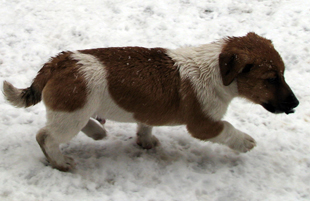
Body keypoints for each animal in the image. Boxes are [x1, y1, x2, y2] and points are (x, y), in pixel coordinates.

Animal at [1, 32, 298, 171]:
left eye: (282, 74)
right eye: (272, 79)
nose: (295, 104)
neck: (216, 71)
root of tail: (59, 61)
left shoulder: (148, 112)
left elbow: (145, 125)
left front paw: (145, 141)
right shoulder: (203, 125)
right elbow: (228, 129)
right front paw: (245, 142)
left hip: (74, 111)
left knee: (72, 126)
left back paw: (97, 131)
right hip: (69, 116)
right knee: (46, 137)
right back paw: (61, 162)